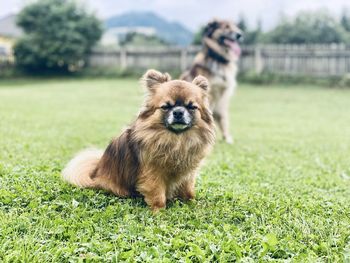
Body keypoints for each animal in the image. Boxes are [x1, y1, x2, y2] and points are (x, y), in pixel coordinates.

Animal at [63, 70, 216, 212]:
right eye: (165, 107)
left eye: (191, 107)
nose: (178, 112)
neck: (176, 139)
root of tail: (96, 171)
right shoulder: (152, 173)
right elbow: (157, 194)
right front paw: (159, 211)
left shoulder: (188, 174)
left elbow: (188, 191)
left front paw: (191, 204)